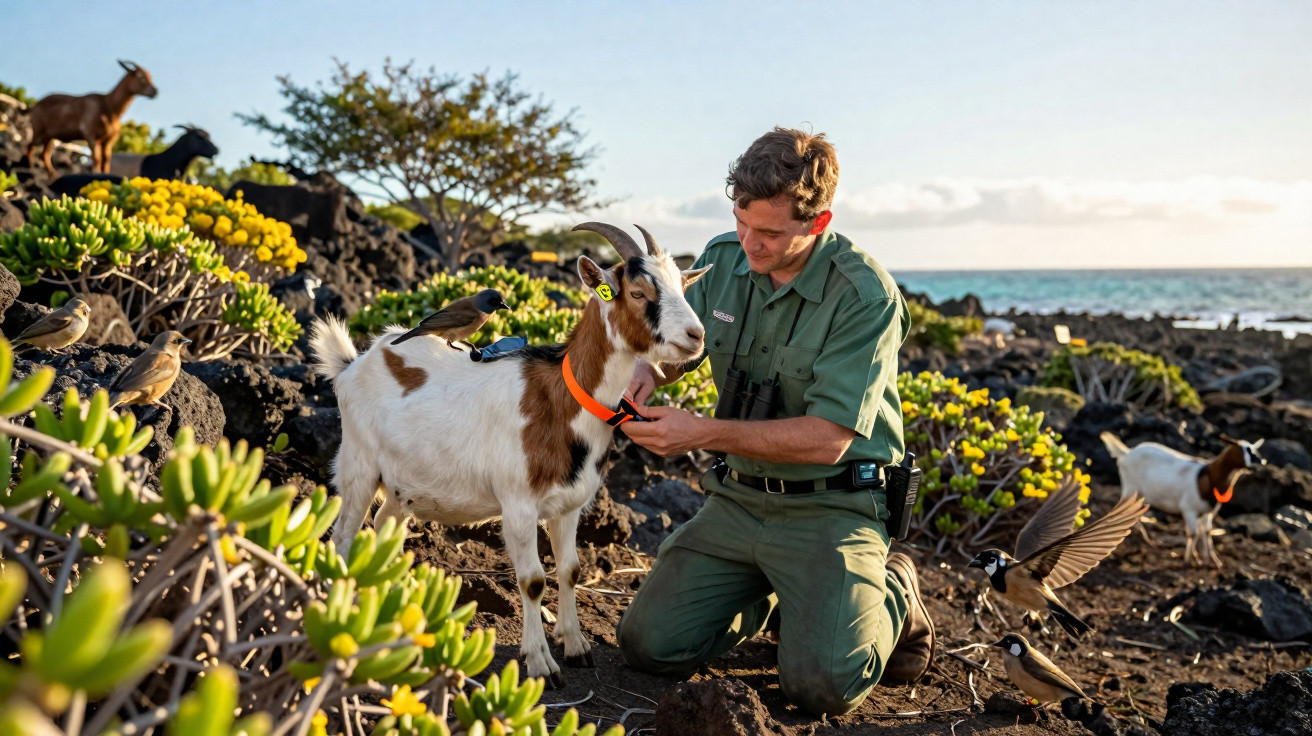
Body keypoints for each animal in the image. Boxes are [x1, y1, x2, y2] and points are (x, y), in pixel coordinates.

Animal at [25, 60, 158, 176]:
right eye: (140, 76)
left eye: (150, 77)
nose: (155, 91)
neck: (109, 106)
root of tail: (35, 106)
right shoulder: (90, 134)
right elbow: (97, 158)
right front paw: (96, 173)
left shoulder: (108, 140)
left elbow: (106, 159)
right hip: (39, 130)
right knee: (30, 146)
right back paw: (30, 168)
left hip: (50, 136)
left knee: (44, 154)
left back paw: (53, 174)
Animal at [310, 223, 710, 685]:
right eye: (639, 292)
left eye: (682, 285)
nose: (696, 336)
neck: (560, 400)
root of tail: (356, 361)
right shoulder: (518, 504)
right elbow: (533, 580)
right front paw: (541, 664)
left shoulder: (569, 505)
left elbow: (571, 569)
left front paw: (576, 646)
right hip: (359, 464)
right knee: (344, 533)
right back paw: (339, 606)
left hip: (401, 484)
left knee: (383, 526)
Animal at [1101, 432, 1265, 567]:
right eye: (1243, 450)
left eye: (1255, 449)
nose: (1260, 461)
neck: (1207, 477)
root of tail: (1127, 453)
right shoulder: (1188, 508)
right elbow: (1192, 533)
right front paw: (1192, 558)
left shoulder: (1207, 512)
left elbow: (1206, 532)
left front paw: (1212, 559)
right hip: (1131, 487)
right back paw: (1143, 538)